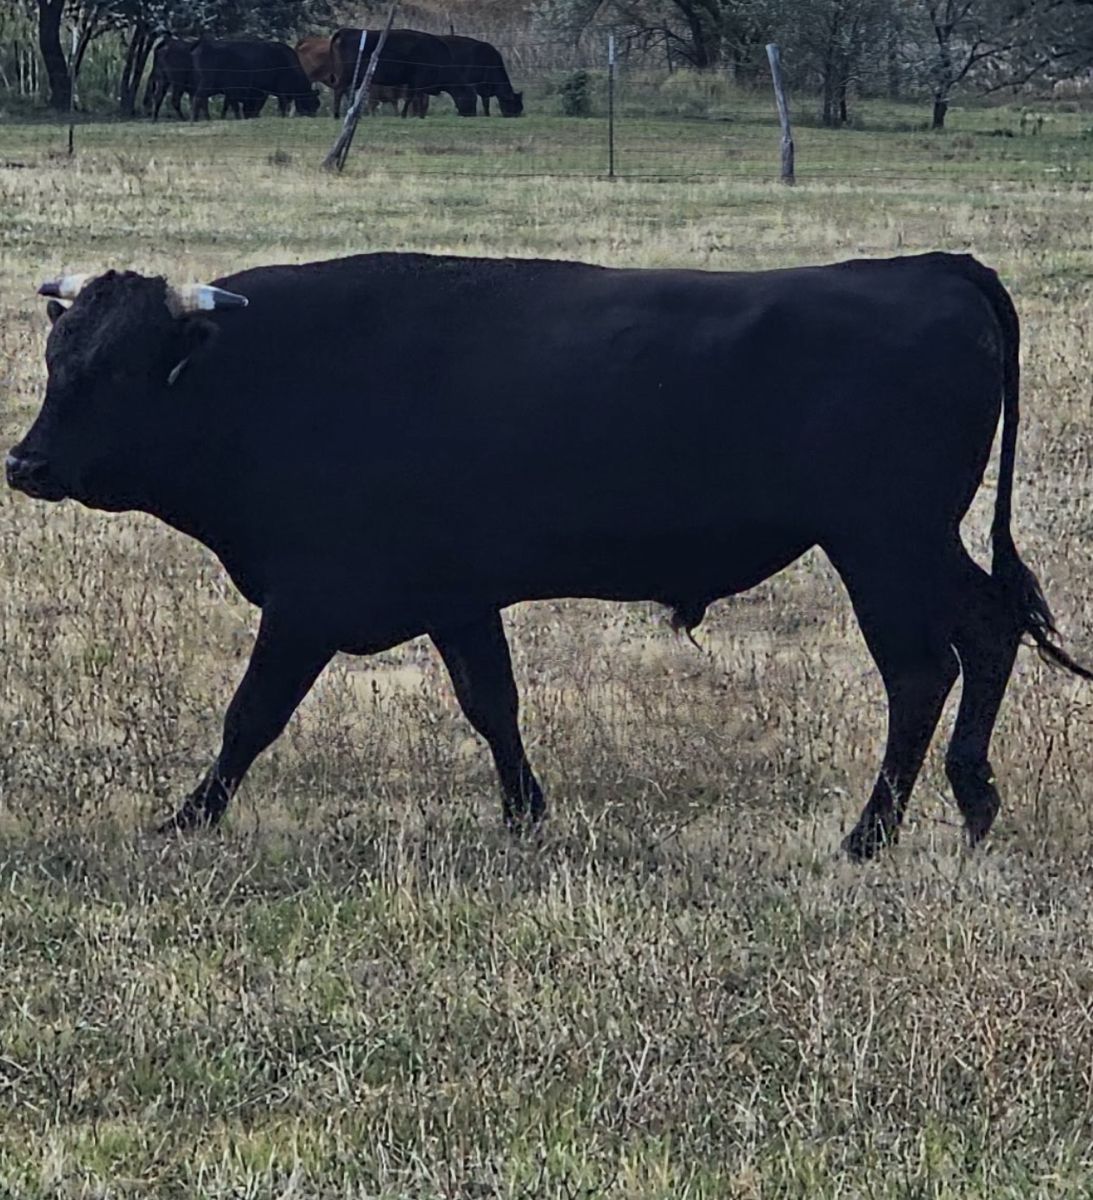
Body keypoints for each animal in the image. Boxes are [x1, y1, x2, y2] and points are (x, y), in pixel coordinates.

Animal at [6, 253, 1091, 859]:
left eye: (116, 370)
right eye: (58, 360)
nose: (26, 462)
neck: (269, 377)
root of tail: (932, 265)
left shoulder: (307, 604)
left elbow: (250, 717)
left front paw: (188, 817)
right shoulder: (455, 596)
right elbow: (493, 704)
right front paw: (526, 812)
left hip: (883, 543)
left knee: (921, 670)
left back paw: (872, 832)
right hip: (911, 544)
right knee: (988, 632)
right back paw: (973, 799)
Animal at [191, 39, 320, 120]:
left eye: (317, 104)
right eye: (312, 102)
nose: (312, 115)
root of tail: (203, 43)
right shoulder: (268, 91)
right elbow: (278, 105)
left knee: (202, 100)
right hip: (207, 82)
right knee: (199, 98)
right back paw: (196, 119)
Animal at [330, 27, 474, 118]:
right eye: (470, 97)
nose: (471, 114)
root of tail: (345, 31)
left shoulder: (413, 82)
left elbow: (412, 98)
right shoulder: (419, 81)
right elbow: (415, 98)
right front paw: (411, 115)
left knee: (346, 91)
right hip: (348, 75)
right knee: (339, 90)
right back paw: (337, 114)